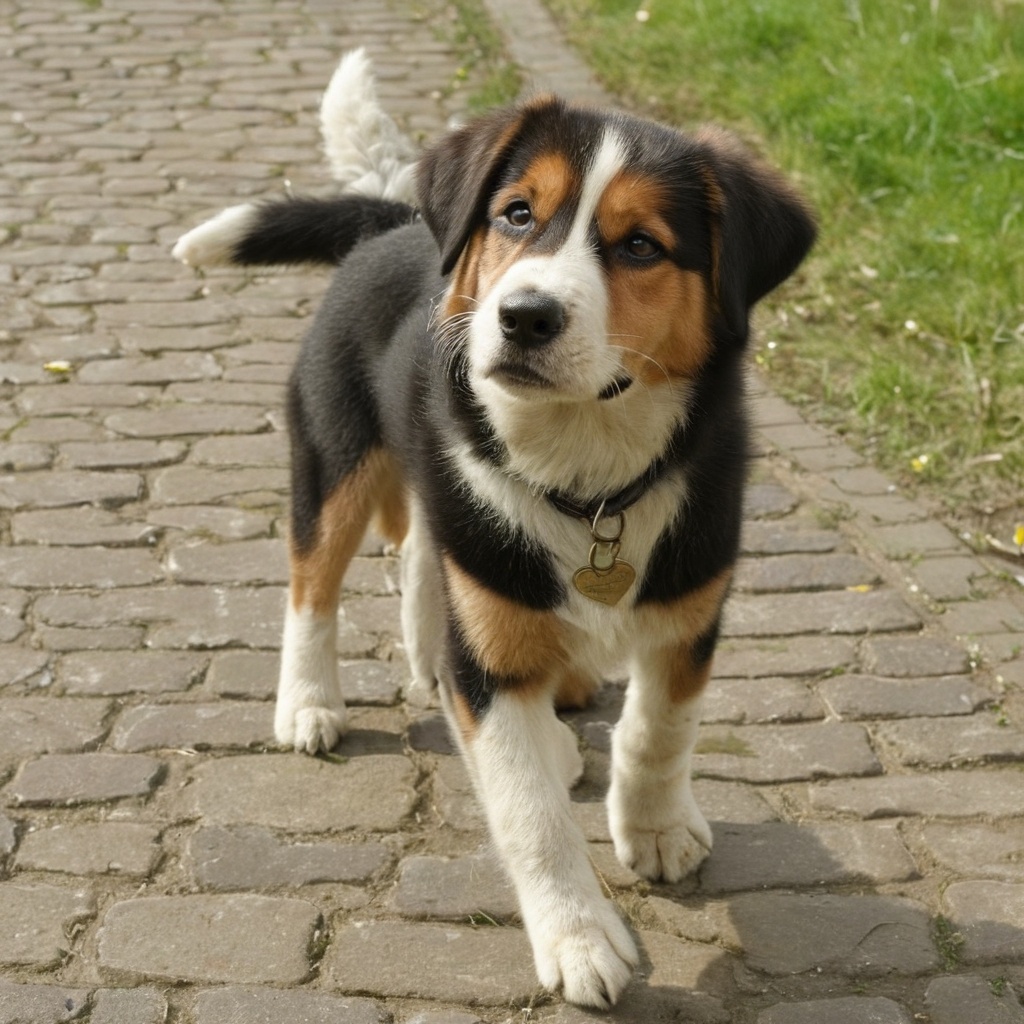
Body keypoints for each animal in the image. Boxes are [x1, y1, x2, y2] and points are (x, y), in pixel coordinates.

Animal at [175, 50, 816, 1008]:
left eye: (640, 245)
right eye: (517, 213)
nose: (524, 316)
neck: (590, 477)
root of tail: (397, 217)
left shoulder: (692, 605)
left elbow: (660, 731)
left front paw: (656, 826)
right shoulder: (489, 643)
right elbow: (528, 810)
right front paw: (579, 938)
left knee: (422, 561)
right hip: (335, 457)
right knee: (314, 584)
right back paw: (312, 701)